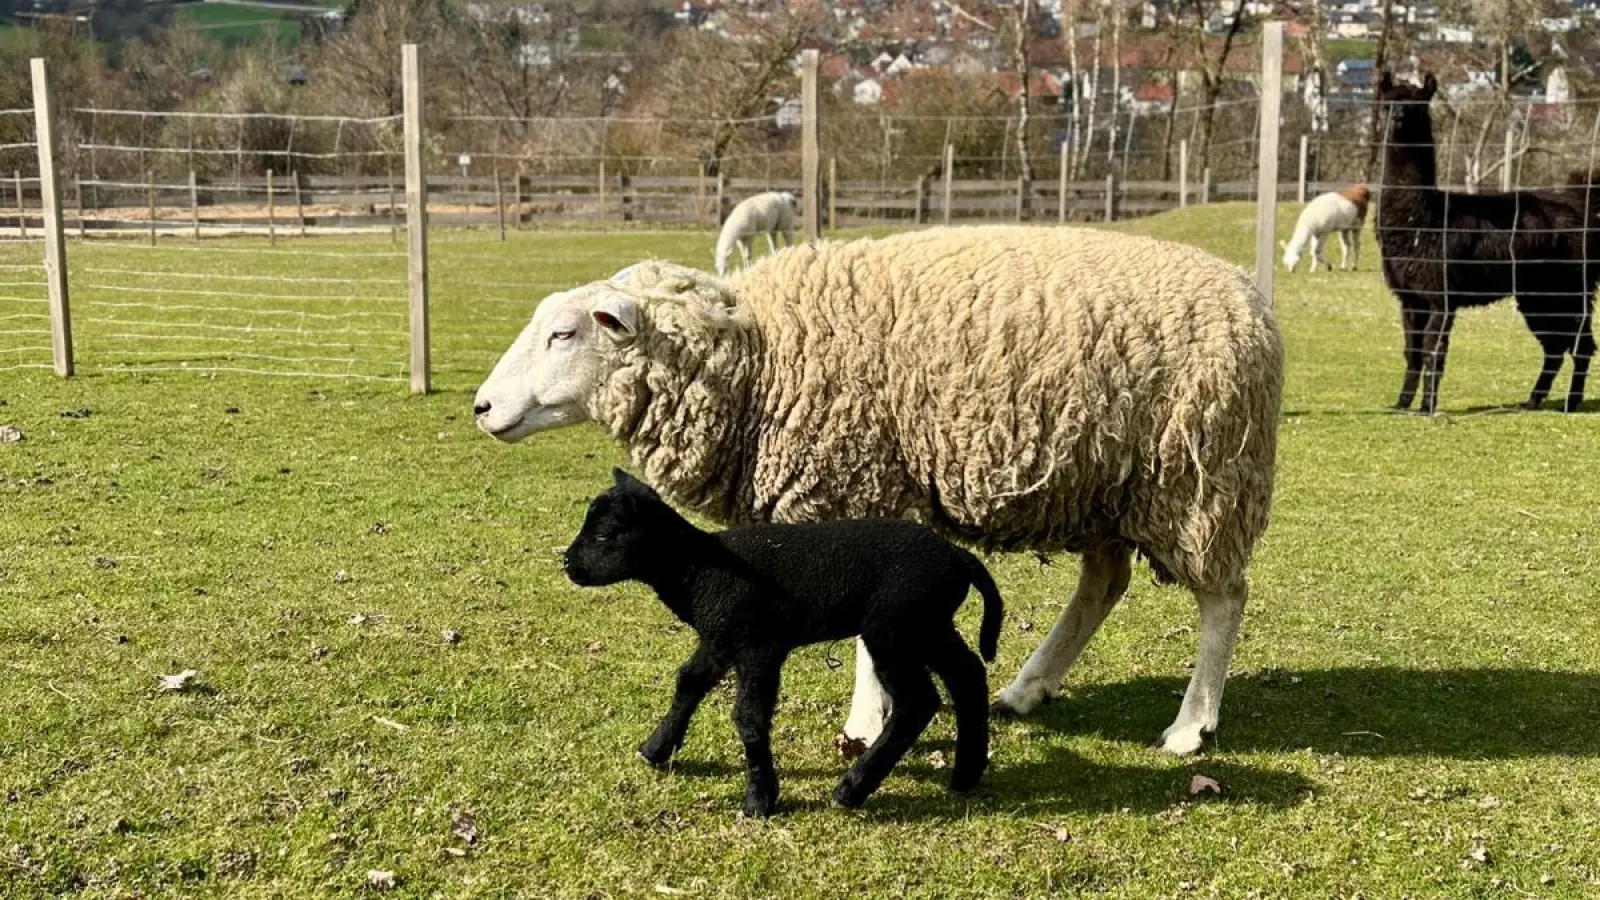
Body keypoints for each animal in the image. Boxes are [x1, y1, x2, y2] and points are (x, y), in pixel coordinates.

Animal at [474, 224, 1284, 756]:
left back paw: (1190, 726)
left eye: (566, 334)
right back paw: (1029, 687)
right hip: (1104, 485)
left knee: (1224, 598)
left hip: (1200, 479)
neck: (758, 357)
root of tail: (1253, 301)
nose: (481, 407)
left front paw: (864, 725)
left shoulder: (860, 484)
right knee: (1104, 584)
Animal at [563, 468, 1003, 817]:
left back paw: (851, 789)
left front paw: (760, 800)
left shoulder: (759, 645)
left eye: (604, 535)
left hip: (895, 626)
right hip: (928, 625)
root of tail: (957, 556)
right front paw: (656, 748)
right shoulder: (720, 640)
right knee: (968, 676)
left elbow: (749, 718)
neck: (697, 569)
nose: (566, 563)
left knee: (918, 701)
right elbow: (688, 681)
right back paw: (966, 773)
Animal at [1376, 71, 1599, 414]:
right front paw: (1401, 404)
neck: (1425, 219)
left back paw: (1570, 402)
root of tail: (1581, 204)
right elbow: (1411, 352)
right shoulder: (1410, 296)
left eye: (1416, 105)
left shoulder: (1441, 294)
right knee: (1555, 345)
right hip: (1538, 292)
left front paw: (1427, 407)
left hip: (1570, 286)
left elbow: (1432, 352)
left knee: (1580, 344)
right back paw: (1533, 400)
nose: (1398, 119)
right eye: (1387, 104)